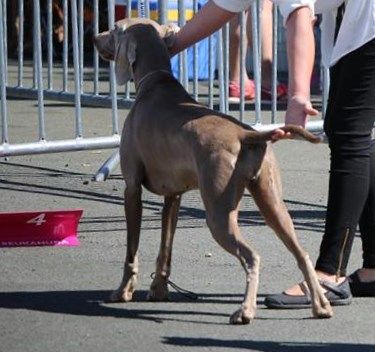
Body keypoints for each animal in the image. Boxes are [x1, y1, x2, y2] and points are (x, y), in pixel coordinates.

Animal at [95, 17, 334, 324]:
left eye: (114, 29)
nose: (94, 38)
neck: (154, 82)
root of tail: (247, 134)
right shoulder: (174, 196)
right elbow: (165, 248)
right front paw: (159, 289)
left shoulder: (132, 188)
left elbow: (131, 249)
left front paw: (123, 291)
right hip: (272, 202)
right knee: (302, 253)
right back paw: (320, 306)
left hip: (218, 212)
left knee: (252, 256)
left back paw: (245, 311)